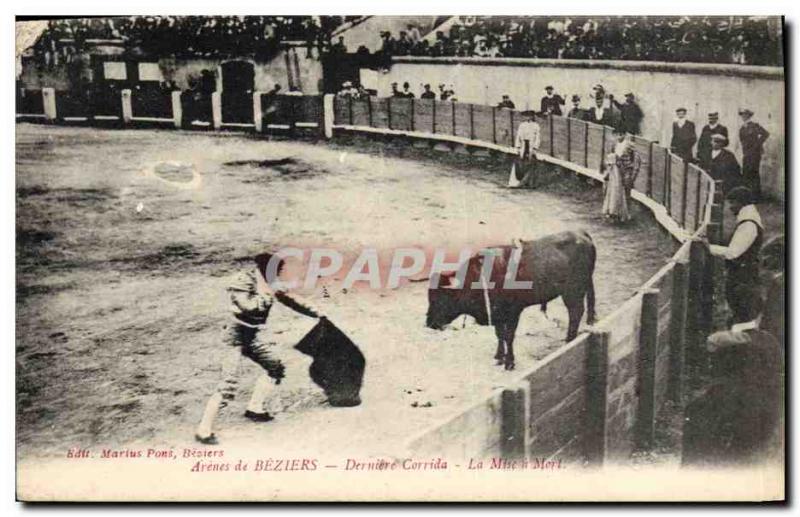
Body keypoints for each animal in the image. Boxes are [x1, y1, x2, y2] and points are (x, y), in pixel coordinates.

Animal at [424, 228, 592, 368]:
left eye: (441, 299)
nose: (429, 323)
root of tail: (581, 234)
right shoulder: (498, 315)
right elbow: (500, 335)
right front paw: (499, 357)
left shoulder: (513, 313)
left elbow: (509, 336)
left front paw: (509, 362)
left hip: (573, 292)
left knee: (576, 313)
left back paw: (570, 340)